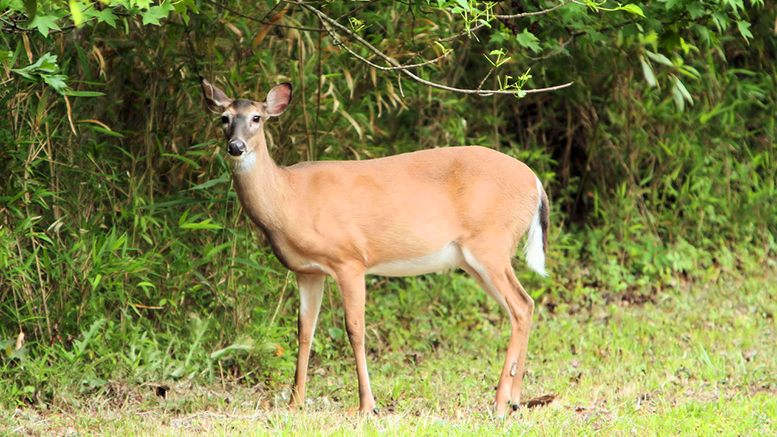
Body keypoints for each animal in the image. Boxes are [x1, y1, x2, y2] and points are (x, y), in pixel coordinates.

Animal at [200, 76, 552, 418]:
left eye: (256, 118)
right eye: (224, 118)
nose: (236, 146)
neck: (288, 199)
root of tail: (535, 181)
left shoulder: (349, 259)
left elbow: (355, 330)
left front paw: (367, 405)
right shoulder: (307, 271)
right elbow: (304, 331)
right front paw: (295, 402)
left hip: (490, 242)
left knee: (521, 305)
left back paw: (501, 403)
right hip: (474, 257)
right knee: (523, 306)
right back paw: (515, 399)